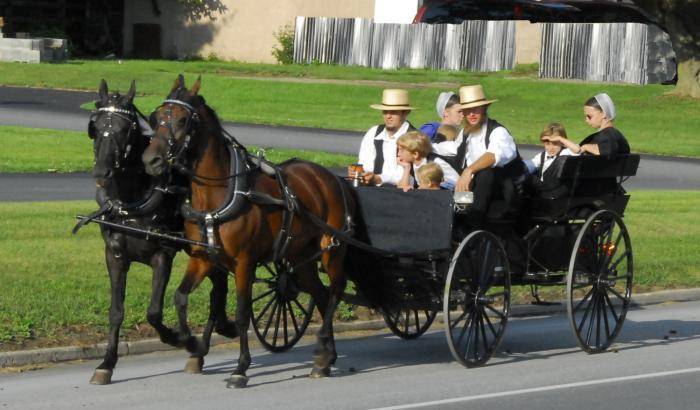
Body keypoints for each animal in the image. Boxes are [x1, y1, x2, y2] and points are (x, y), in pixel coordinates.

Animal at [78, 80, 234, 384]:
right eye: (95, 126)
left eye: (125, 129)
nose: (101, 172)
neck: (132, 200)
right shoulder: (114, 256)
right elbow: (116, 311)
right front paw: (107, 363)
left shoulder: (162, 256)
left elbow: (153, 312)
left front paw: (181, 338)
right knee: (218, 288)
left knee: (218, 289)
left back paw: (203, 345)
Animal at [141, 76, 356, 388]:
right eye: (155, 118)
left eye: (182, 120)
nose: (151, 160)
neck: (221, 193)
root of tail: (333, 179)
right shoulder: (202, 259)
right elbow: (180, 297)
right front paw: (189, 342)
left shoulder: (245, 263)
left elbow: (243, 314)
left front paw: (240, 368)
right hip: (301, 256)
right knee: (321, 294)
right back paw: (326, 358)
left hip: (332, 249)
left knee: (336, 290)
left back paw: (323, 348)